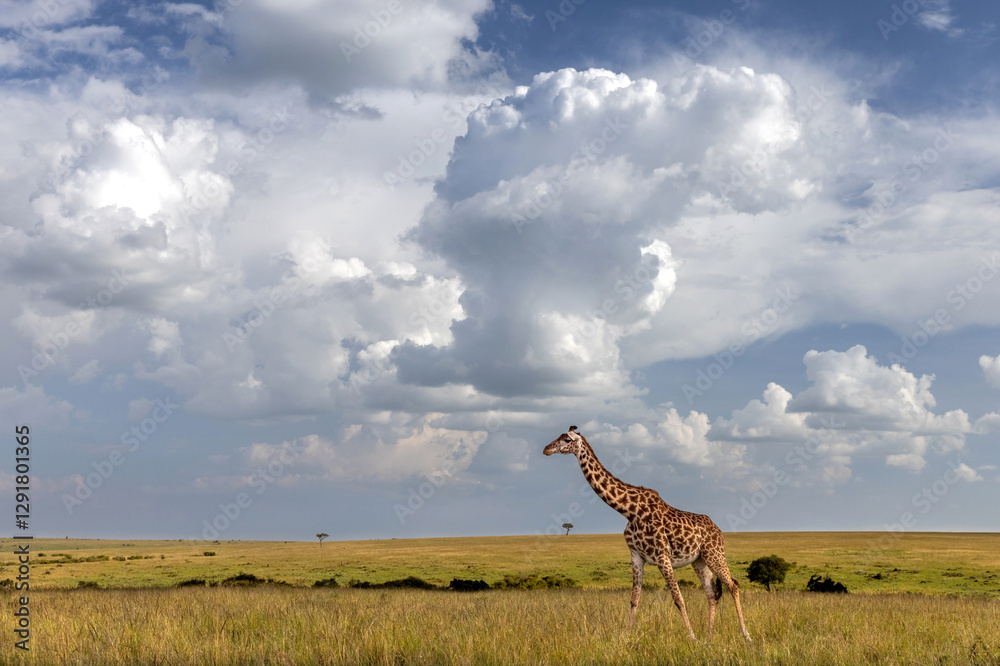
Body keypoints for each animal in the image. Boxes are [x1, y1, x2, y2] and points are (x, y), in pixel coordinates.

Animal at [543, 426, 751, 642]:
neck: (630, 511)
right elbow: (634, 599)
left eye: (567, 439)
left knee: (733, 585)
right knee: (711, 594)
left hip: (714, 554)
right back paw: (709, 638)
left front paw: (692, 637)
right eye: (559, 436)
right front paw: (625, 636)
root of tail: (718, 530)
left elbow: (678, 598)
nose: (546, 449)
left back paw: (746, 635)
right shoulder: (636, 556)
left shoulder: (662, 556)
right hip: (700, 560)